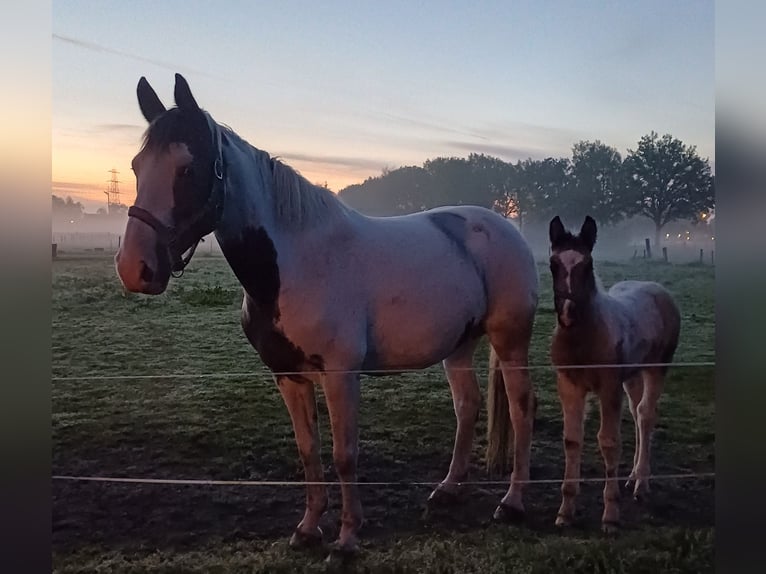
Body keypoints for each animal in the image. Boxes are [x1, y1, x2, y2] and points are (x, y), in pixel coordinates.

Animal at [115, 73, 540, 560]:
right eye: (136, 167)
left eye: (187, 168)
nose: (134, 268)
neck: (295, 262)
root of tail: (503, 227)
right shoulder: (288, 376)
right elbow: (309, 451)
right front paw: (307, 529)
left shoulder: (340, 375)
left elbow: (344, 454)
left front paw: (347, 538)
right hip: (460, 345)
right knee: (467, 406)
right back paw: (448, 490)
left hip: (510, 341)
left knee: (523, 407)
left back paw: (512, 503)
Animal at [548, 217, 680, 536]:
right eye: (553, 264)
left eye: (588, 265)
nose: (568, 313)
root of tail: (655, 288)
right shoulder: (569, 385)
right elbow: (572, 440)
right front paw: (565, 512)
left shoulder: (609, 387)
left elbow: (608, 441)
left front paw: (610, 515)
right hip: (631, 377)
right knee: (637, 413)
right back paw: (631, 476)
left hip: (657, 367)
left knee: (647, 414)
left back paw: (641, 484)